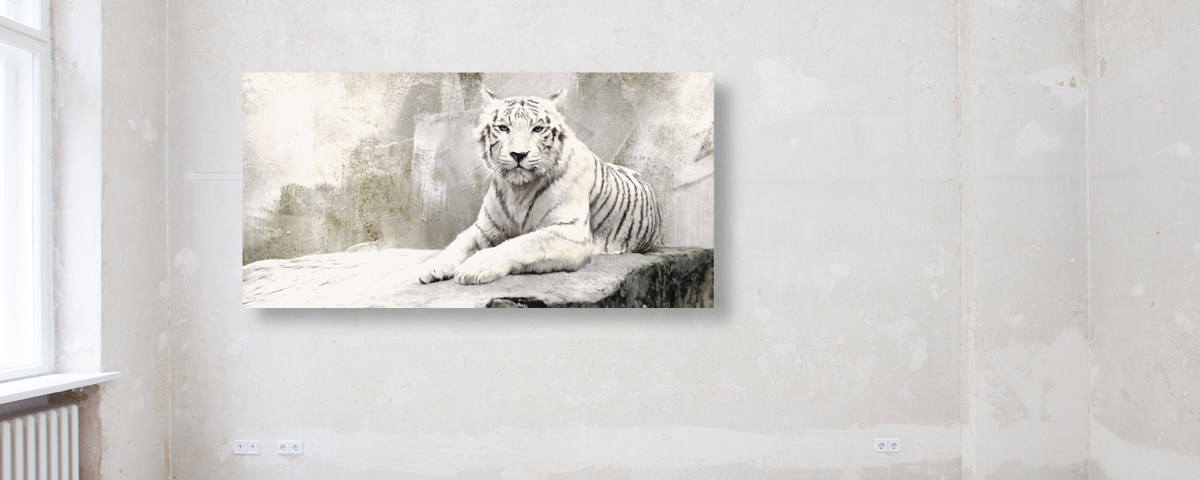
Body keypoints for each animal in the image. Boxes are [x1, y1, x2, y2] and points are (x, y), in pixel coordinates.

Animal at [417, 86, 662, 285]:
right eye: (503, 128)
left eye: (537, 129)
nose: (518, 154)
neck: (518, 190)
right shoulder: (486, 228)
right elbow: (459, 242)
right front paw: (432, 265)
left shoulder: (570, 232)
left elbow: (522, 244)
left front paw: (474, 267)